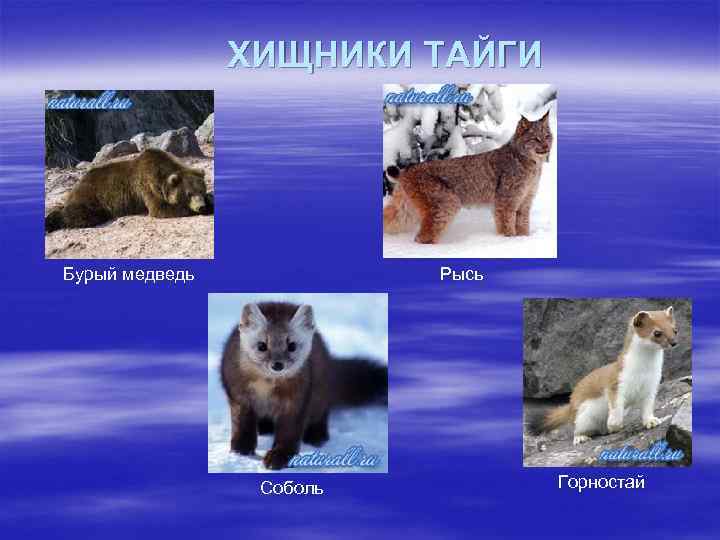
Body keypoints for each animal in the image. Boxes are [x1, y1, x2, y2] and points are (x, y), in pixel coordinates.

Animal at [45, 148, 213, 233]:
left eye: (201, 190)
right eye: (188, 194)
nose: (201, 206)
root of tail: (78, 182)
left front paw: (210, 203)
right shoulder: (148, 185)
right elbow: (161, 209)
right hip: (92, 196)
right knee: (81, 214)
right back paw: (51, 222)